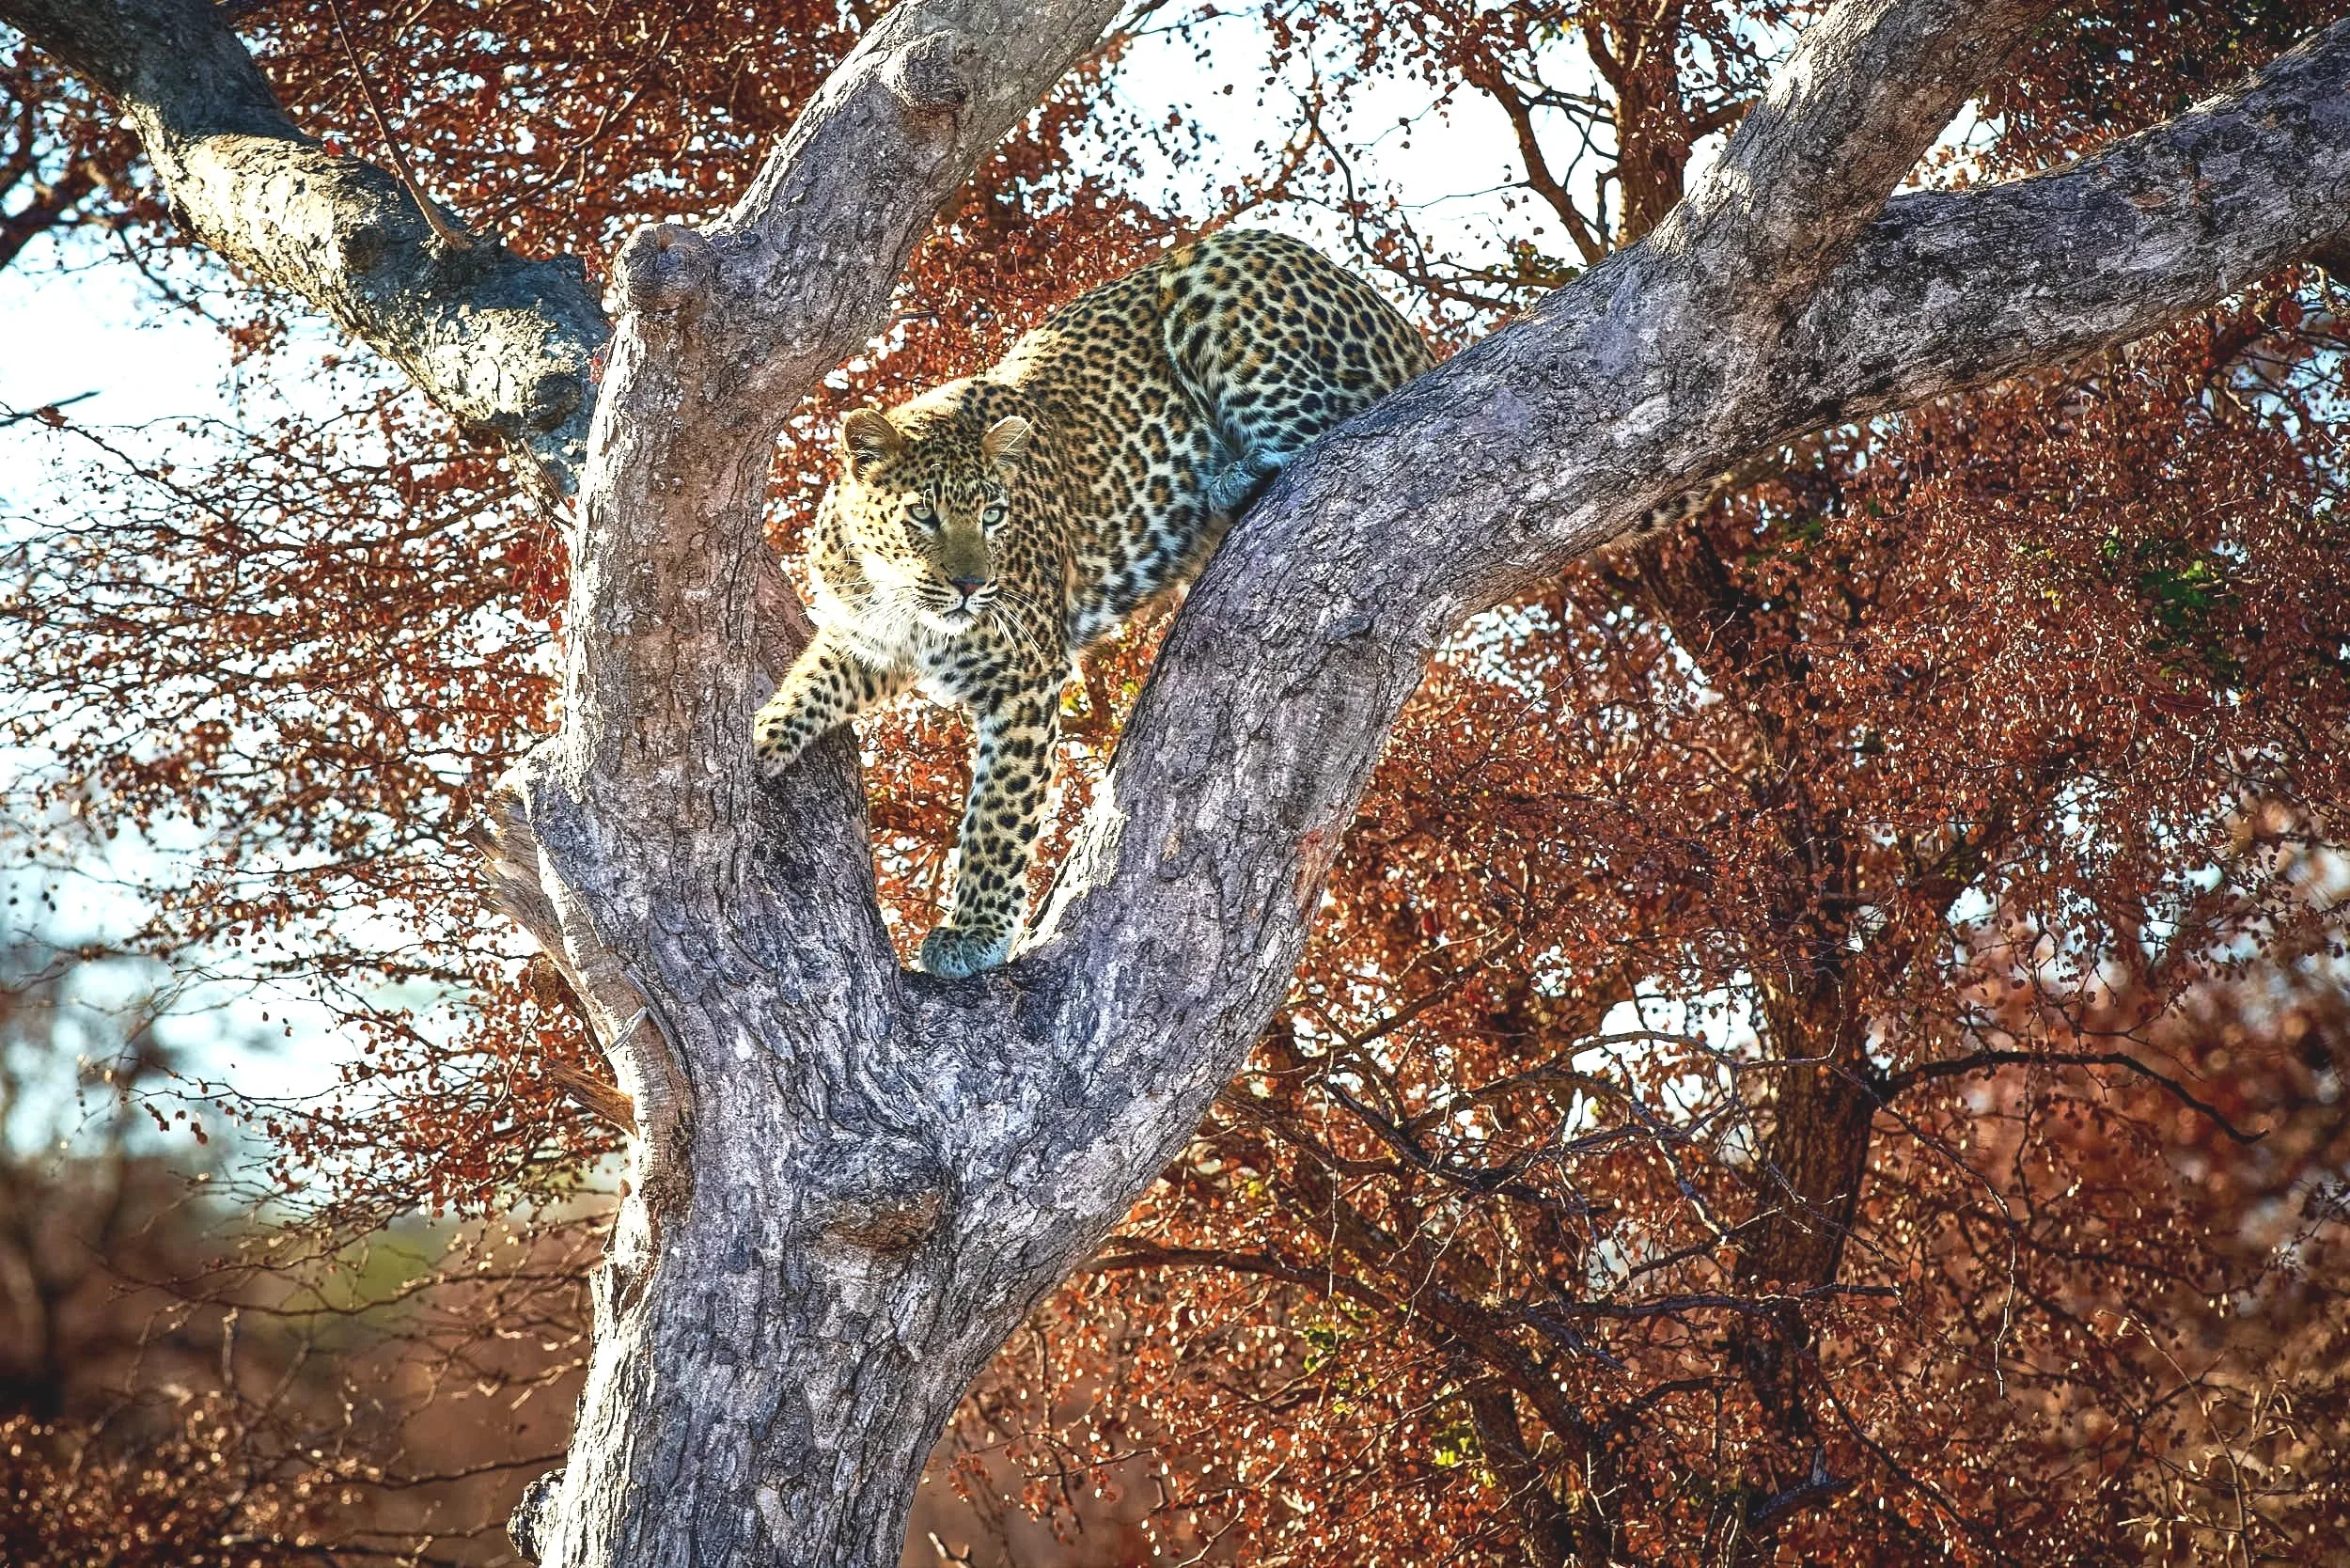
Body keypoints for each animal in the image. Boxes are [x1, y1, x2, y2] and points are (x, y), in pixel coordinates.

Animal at [750, 228, 1433, 977]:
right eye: (922, 515)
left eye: (993, 515)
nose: (970, 586)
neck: (892, 590)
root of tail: (1411, 333)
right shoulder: (867, 640)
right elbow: (813, 682)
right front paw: (760, 742)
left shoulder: (1023, 673)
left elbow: (999, 812)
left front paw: (975, 932)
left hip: (1219, 270)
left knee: (1340, 423)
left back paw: (1234, 478)